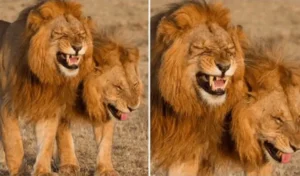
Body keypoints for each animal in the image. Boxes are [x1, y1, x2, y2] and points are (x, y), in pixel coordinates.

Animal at [0, 0, 94, 175]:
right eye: (61, 34)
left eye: (81, 35)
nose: (78, 47)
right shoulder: (6, 105)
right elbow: (13, 142)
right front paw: (19, 171)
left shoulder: (48, 106)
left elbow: (46, 142)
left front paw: (42, 170)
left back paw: (69, 165)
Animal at [54, 28, 143, 175]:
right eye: (118, 87)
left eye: (135, 84)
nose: (133, 107)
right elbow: (64, 136)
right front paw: (69, 165)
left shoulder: (104, 111)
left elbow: (105, 142)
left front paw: (106, 169)